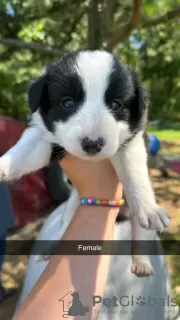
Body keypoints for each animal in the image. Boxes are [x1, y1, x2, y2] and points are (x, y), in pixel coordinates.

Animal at [0, 50, 171, 276]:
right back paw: (50, 248)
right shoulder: (45, 139)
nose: (92, 144)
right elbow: (22, 152)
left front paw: (149, 208)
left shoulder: (131, 142)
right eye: (67, 103)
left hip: (134, 221)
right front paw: (3, 166)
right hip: (72, 206)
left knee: (140, 235)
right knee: (64, 227)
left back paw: (141, 262)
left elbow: (134, 174)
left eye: (116, 104)